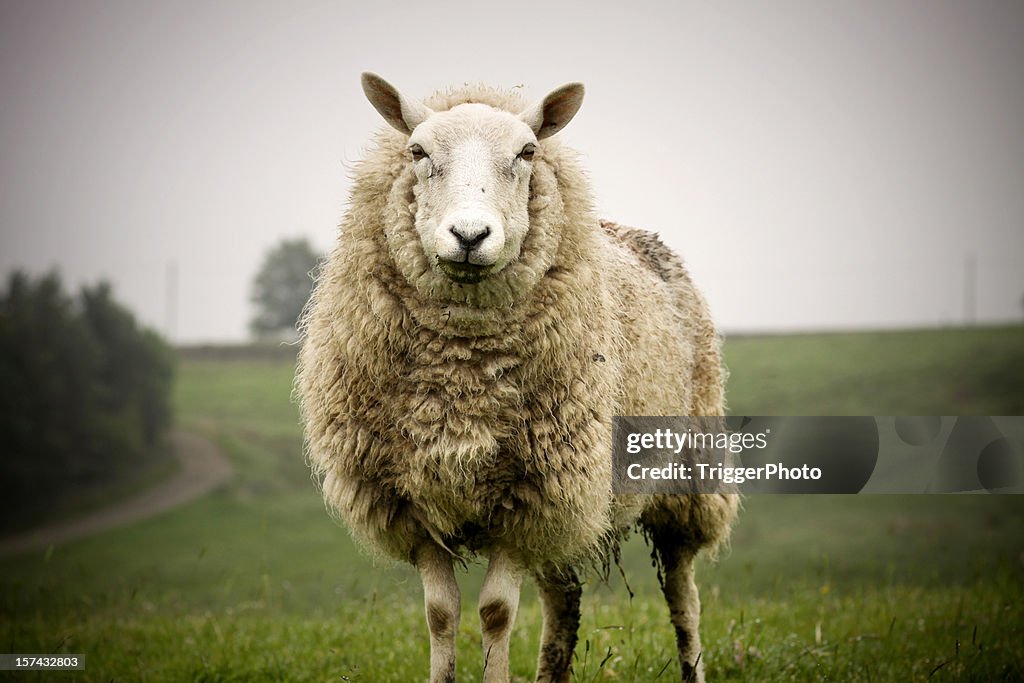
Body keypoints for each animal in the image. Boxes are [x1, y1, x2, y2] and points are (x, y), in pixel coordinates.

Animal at [296, 72, 738, 683]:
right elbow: (440, 614)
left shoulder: (527, 494)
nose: (469, 235)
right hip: (570, 505)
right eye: (417, 152)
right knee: (563, 597)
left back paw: (692, 663)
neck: (460, 373)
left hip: (683, 477)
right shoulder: (414, 497)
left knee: (682, 592)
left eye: (527, 152)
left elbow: (497, 612)